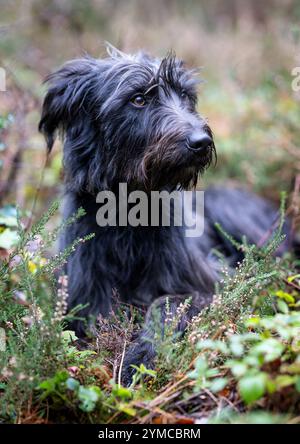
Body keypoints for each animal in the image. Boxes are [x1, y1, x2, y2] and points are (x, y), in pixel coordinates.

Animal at [38, 46, 292, 384]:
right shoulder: (83, 299)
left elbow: (167, 301)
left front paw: (140, 355)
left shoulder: (212, 283)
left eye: (185, 95)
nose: (201, 142)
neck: (129, 215)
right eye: (138, 99)